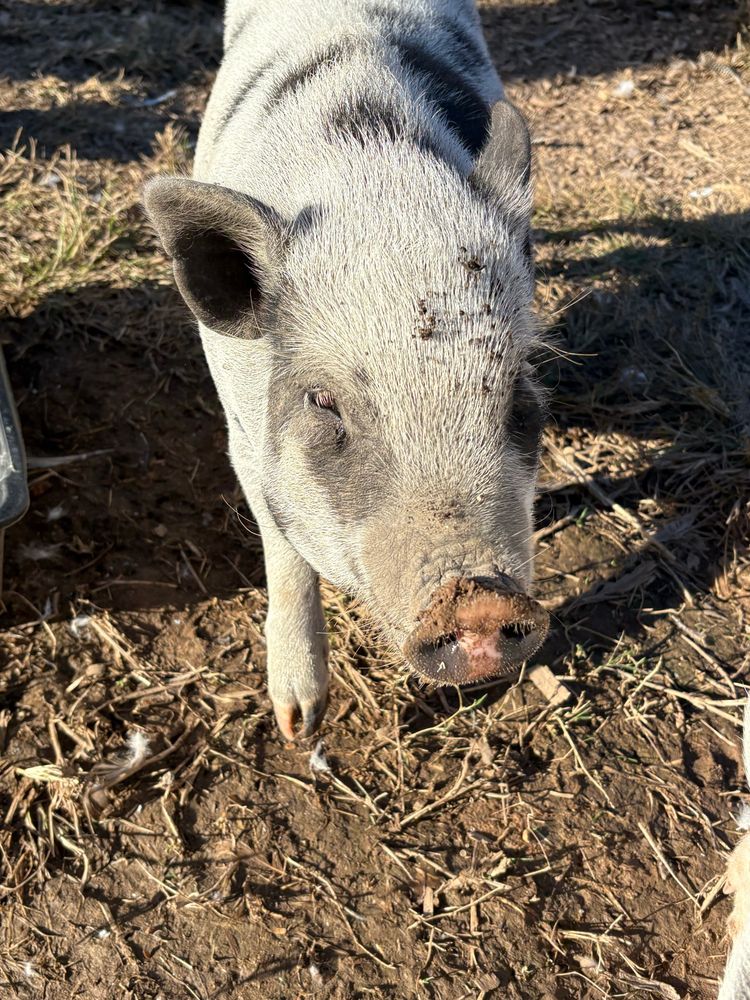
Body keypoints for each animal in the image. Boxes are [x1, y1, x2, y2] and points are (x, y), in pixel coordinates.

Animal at [145, 0, 550, 739]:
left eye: (515, 390)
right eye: (323, 401)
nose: (478, 601)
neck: (376, 187)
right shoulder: (243, 438)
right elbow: (284, 557)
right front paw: (297, 724)